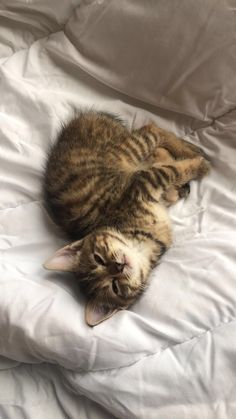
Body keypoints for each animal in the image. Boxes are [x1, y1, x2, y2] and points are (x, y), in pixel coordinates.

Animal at [43, 112, 210, 328]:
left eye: (98, 258)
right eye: (114, 286)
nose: (119, 266)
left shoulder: (143, 182)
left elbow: (173, 170)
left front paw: (198, 167)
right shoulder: (148, 181)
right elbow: (171, 173)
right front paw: (189, 174)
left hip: (126, 151)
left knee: (153, 130)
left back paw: (190, 150)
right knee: (153, 137)